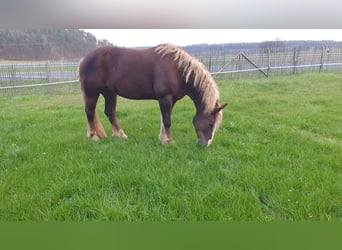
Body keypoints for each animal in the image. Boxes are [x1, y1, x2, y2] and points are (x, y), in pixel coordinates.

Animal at [78, 43, 227, 146]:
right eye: (211, 124)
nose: (204, 144)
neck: (177, 69)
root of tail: (84, 59)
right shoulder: (165, 98)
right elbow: (167, 121)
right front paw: (169, 141)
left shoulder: (171, 100)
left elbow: (163, 119)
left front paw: (162, 138)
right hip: (92, 93)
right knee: (90, 112)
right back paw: (93, 136)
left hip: (109, 92)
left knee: (110, 112)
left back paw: (120, 134)